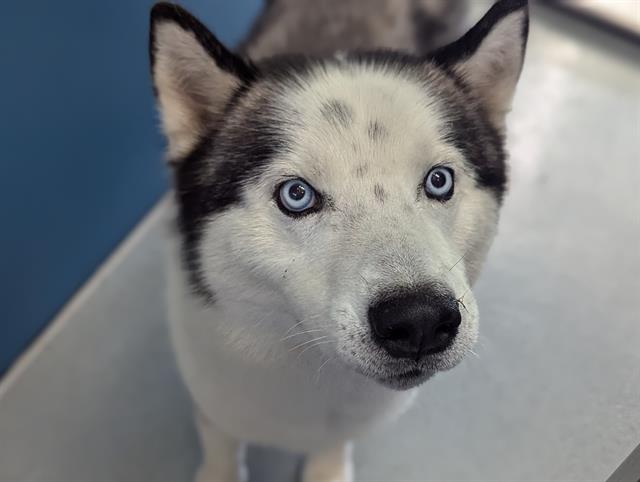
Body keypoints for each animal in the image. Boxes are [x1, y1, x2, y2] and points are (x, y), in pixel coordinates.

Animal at [148, 0, 528, 478]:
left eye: (439, 180)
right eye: (296, 195)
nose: (419, 320)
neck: (310, 369)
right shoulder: (215, 401)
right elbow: (220, 446)